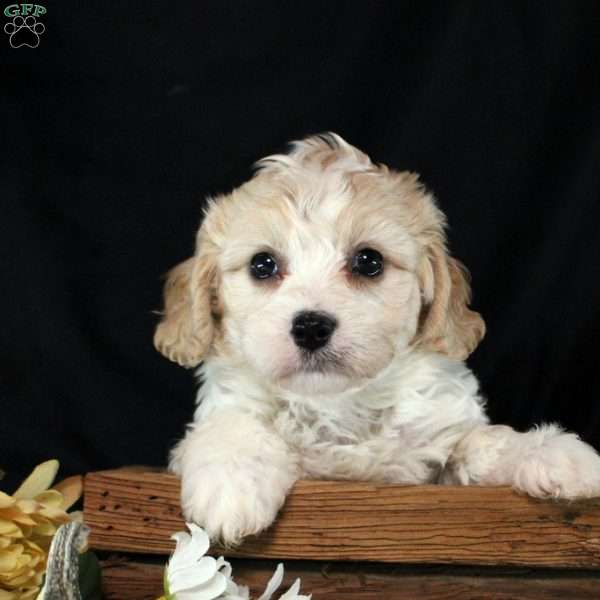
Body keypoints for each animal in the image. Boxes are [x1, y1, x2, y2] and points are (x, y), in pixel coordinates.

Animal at [154, 134, 600, 548]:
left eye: (369, 261)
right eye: (262, 265)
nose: (311, 327)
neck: (339, 404)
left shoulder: (437, 457)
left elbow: (483, 441)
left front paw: (551, 453)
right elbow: (233, 424)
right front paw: (231, 481)